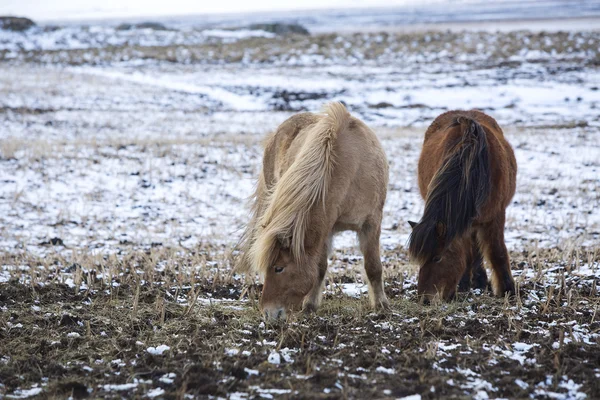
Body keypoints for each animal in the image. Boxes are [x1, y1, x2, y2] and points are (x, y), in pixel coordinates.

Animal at [238, 102, 390, 318]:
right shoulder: (325, 228)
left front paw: (381, 305)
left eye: (279, 268)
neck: (352, 169)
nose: (268, 314)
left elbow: (373, 266)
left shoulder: (371, 223)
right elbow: (319, 268)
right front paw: (310, 305)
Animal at [410, 111, 516, 302]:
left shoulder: (496, 215)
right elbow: (467, 252)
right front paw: (463, 286)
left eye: (437, 258)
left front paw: (508, 290)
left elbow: (497, 252)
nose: (424, 299)